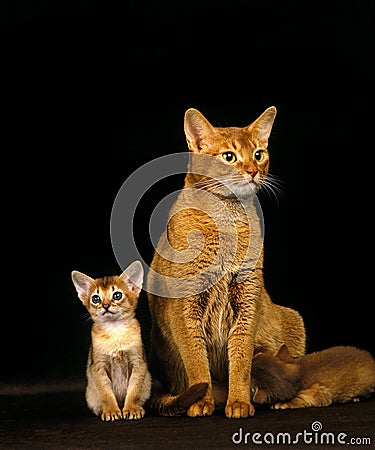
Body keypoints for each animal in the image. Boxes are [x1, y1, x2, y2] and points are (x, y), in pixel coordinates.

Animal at [72, 260, 151, 422]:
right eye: (96, 298)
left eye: (117, 295)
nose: (106, 305)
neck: (115, 332)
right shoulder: (98, 366)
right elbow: (106, 393)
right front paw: (111, 411)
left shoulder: (138, 362)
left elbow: (134, 390)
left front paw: (132, 408)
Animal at [145, 106, 306, 418]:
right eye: (229, 157)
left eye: (258, 154)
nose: (252, 171)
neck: (227, 220)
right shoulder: (184, 308)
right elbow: (196, 362)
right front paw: (201, 402)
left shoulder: (248, 300)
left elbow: (241, 360)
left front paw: (240, 402)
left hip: (294, 320)